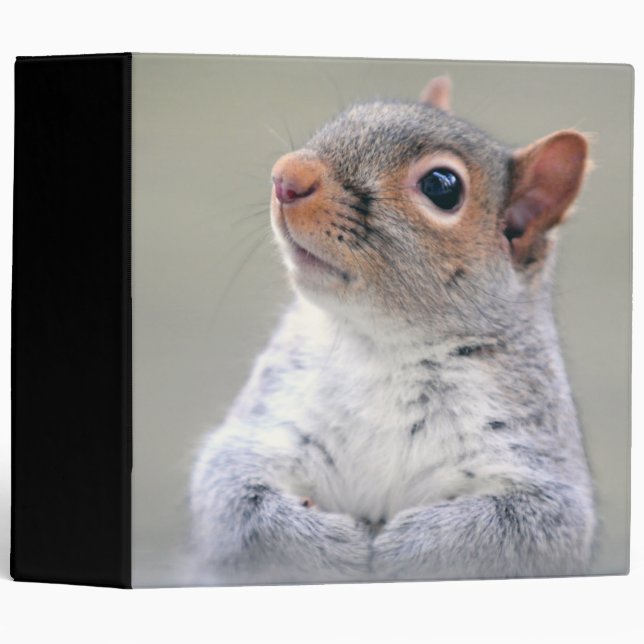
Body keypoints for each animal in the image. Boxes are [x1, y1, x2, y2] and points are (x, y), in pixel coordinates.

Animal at [189, 76, 596, 583]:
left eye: (441, 186)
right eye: (351, 115)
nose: (286, 175)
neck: (384, 346)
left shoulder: (536, 460)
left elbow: (526, 530)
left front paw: (412, 547)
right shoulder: (267, 423)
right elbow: (231, 499)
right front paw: (331, 545)